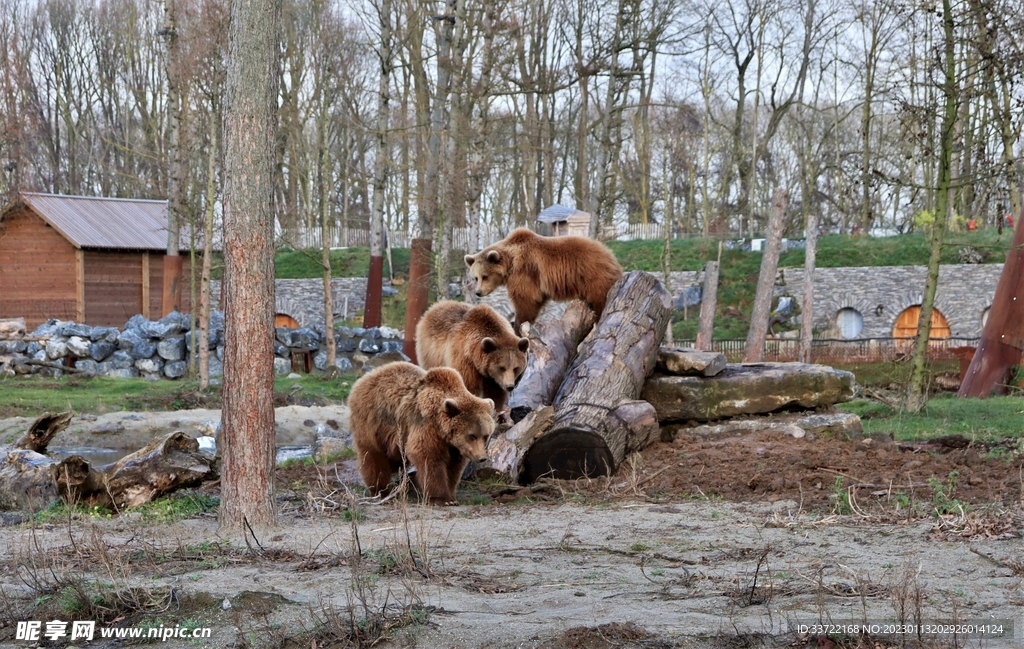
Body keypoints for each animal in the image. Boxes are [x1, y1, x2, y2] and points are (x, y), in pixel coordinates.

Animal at [349, 361, 495, 505]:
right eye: (472, 436)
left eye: (485, 436)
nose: (482, 457)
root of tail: (364, 378)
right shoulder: (426, 425)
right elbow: (428, 456)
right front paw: (442, 498)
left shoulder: (453, 445)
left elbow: (453, 465)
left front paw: (452, 496)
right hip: (373, 420)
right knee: (373, 455)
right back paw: (381, 490)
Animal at [464, 227, 622, 333]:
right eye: (476, 277)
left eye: (485, 276)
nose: (478, 292)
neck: (511, 261)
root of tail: (611, 256)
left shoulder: (525, 270)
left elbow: (526, 300)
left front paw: (517, 325)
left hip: (594, 277)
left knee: (600, 301)